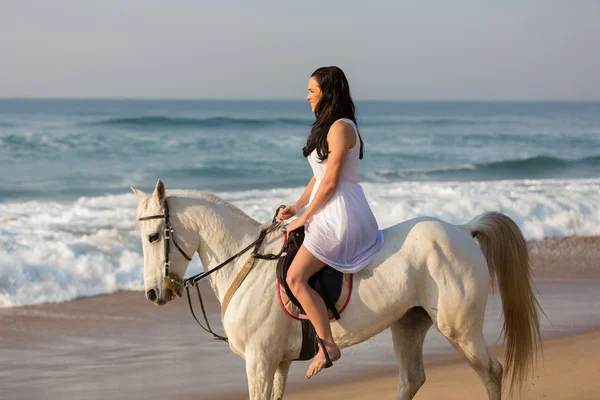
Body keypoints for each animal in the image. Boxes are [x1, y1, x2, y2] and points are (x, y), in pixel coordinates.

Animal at [132, 181, 544, 400]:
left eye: (153, 236)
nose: (153, 294)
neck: (246, 263)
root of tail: (461, 228)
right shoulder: (278, 363)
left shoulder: (260, 361)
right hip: (408, 325)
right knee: (412, 379)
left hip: (460, 330)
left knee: (491, 371)